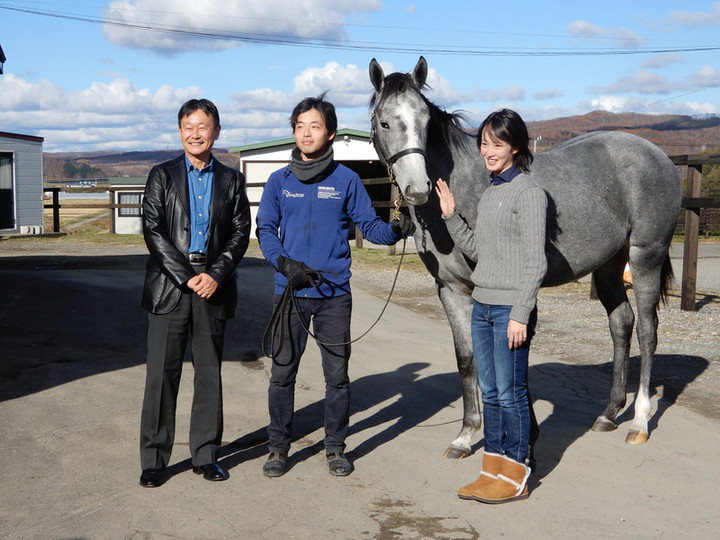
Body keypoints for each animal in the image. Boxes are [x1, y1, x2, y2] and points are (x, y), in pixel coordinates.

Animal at [368, 57, 684, 458]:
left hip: (646, 257)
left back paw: (639, 422)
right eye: (384, 122)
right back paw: (609, 414)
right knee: (621, 324)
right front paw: (466, 435)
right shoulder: (450, 289)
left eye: (424, 122)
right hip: (609, 266)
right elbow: (467, 358)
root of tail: (658, 155)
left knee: (647, 330)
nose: (418, 189)